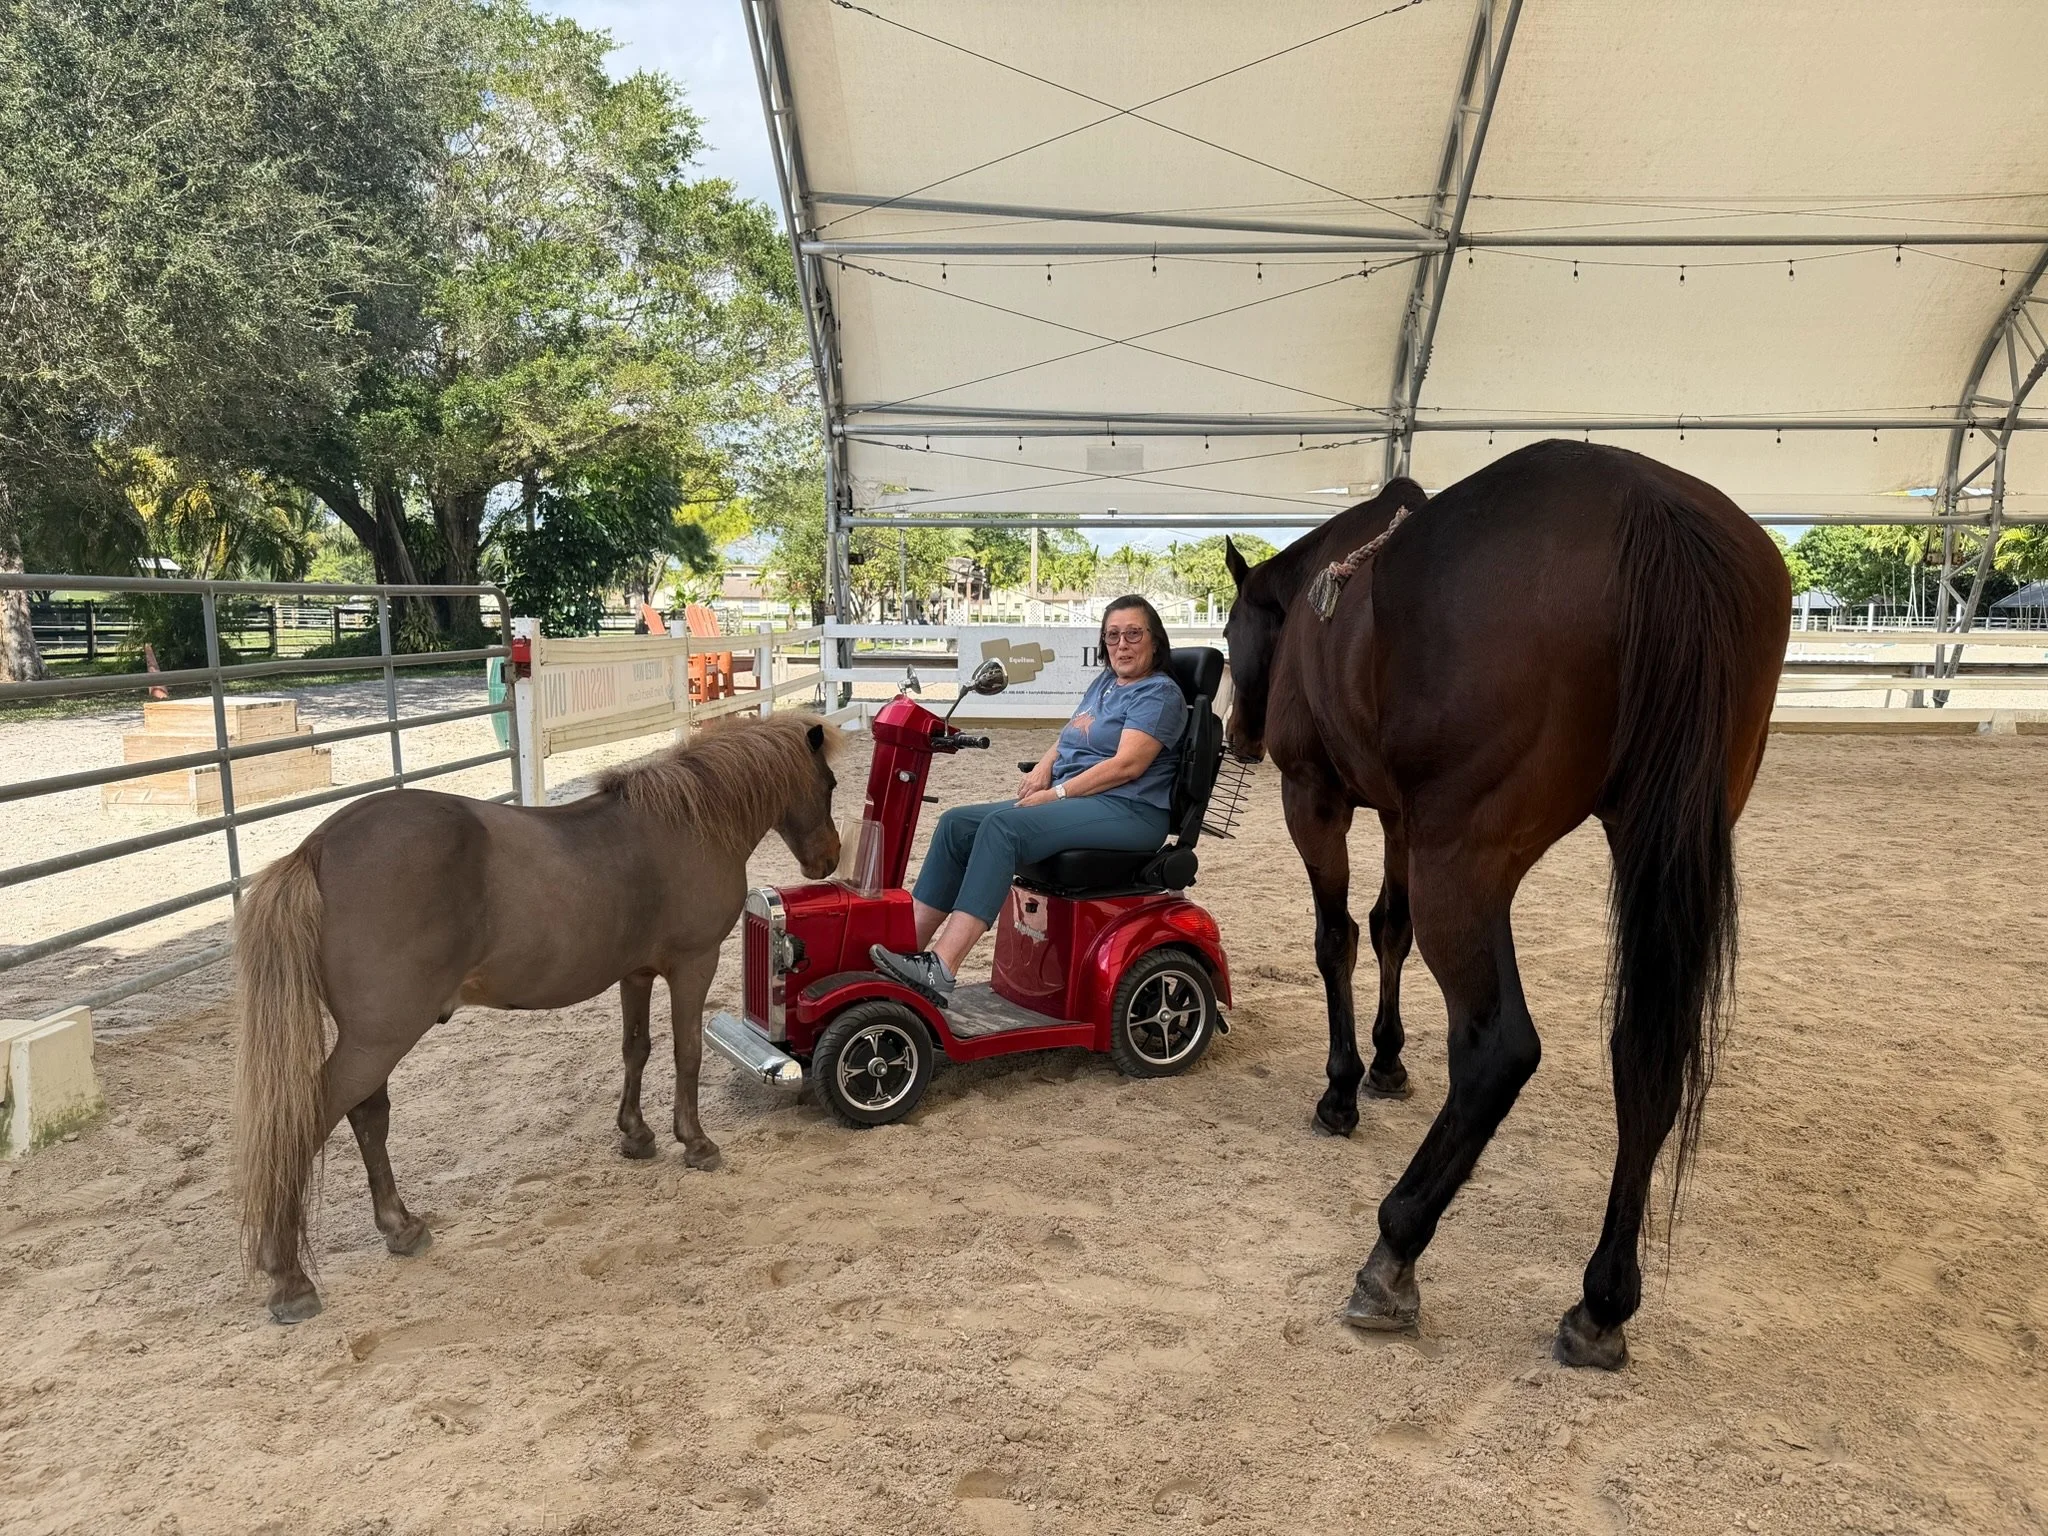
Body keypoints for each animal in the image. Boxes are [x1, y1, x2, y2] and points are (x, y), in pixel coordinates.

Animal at [232, 713, 841, 1323]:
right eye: (831, 784)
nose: (829, 859)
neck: (686, 824)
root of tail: (316, 848)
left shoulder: (636, 973)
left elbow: (636, 1049)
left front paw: (636, 1135)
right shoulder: (694, 964)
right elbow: (685, 1053)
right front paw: (695, 1143)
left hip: (373, 1042)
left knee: (368, 1117)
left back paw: (400, 1228)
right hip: (378, 1039)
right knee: (307, 1122)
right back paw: (290, 1278)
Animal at [1222, 439, 1790, 1368]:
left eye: (1233, 633)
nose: (1241, 735)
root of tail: (1652, 509)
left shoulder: (1320, 799)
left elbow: (1337, 938)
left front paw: (1344, 1087)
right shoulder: (1401, 817)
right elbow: (1388, 930)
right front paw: (1387, 1063)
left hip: (1466, 860)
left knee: (1499, 1050)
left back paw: (1395, 1250)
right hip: (1653, 838)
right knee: (1647, 1054)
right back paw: (1602, 1301)